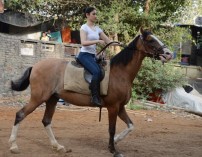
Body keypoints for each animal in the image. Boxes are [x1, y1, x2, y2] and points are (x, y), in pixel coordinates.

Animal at [7, 28, 172, 157]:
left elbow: (131, 126)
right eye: (150, 40)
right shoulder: (113, 107)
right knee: (20, 114)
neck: (120, 73)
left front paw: (116, 140)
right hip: (38, 98)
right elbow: (111, 129)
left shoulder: (120, 107)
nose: (169, 53)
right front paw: (113, 150)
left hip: (52, 99)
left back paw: (58, 146)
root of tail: (35, 66)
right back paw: (13, 146)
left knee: (46, 121)